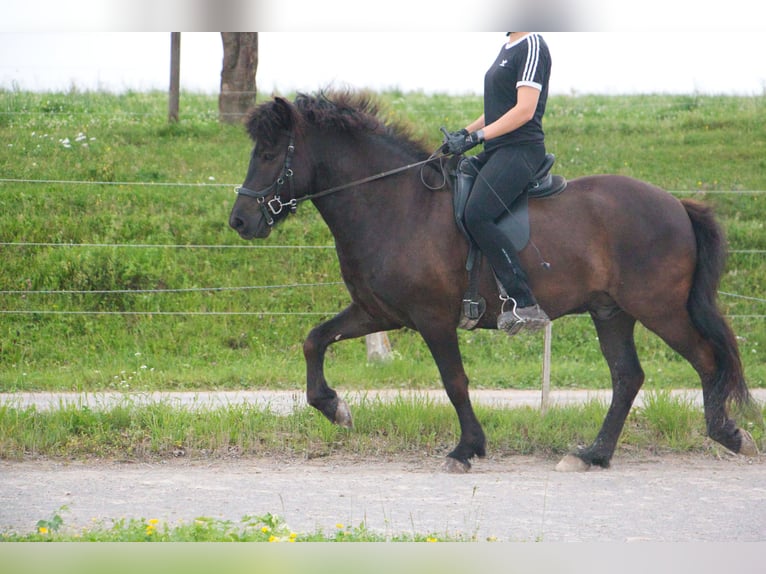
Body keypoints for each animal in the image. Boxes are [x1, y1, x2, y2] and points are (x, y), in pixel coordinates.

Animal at [229, 90, 757, 473]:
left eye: (271, 153)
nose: (239, 221)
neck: (395, 204)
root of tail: (677, 205)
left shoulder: (432, 319)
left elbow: (454, 381)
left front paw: (467, 448)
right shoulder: (379, 312)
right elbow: (314, 340)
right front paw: (334, 407)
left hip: (659, 308)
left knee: (706, 359)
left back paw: (729, 435)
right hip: (612, 311)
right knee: (628, 377)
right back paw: (593, 455)